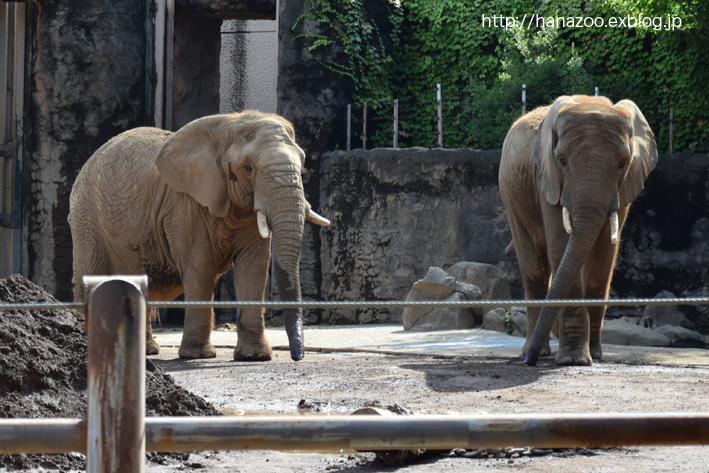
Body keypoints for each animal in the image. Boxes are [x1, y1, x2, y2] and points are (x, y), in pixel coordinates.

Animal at [69, 110, 330, 362]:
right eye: (248, 168)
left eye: (303, 164)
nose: (297, 357)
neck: (228, 125)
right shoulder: (184, 207)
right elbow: (201, 268)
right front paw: (197, 355)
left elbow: (254, 268)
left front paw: (254, 356)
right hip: (86, 218)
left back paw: (147, 351)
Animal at [498, 95, 660, 366]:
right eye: (562, 161)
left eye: (622, 164)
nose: (529, 362)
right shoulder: (547, 177)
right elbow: (562, 244)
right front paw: (573, 360)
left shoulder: (625, 184)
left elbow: (604, 256)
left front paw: (594, 355)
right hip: (511, 196)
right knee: (535, 268)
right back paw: (536, 350)